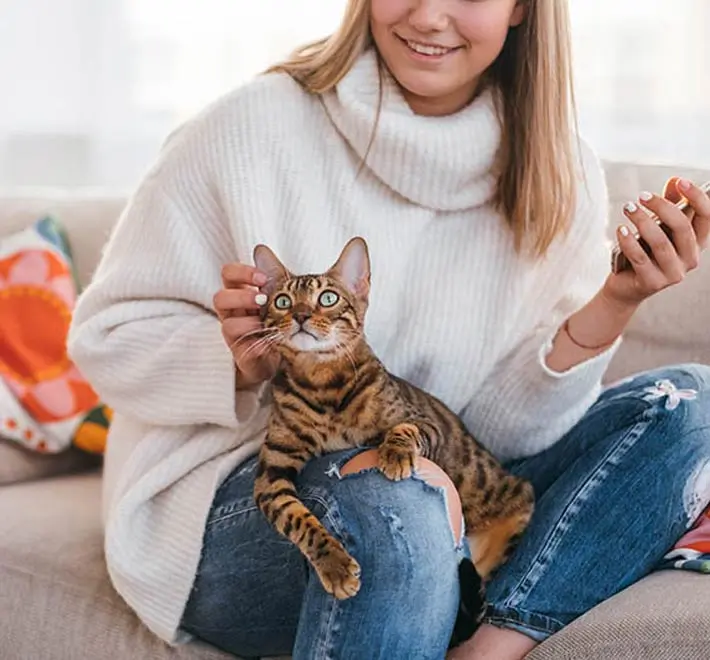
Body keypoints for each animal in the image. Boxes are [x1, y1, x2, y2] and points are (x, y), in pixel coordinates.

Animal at [250, 235, 536, 600]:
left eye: (328, 298)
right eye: (283, 301)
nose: (300, 315)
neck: (321, 382)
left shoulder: (424, 421)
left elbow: (405, 429)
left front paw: (395, 453)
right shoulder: (271, 475)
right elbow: (296, 517)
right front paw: (334, 564)